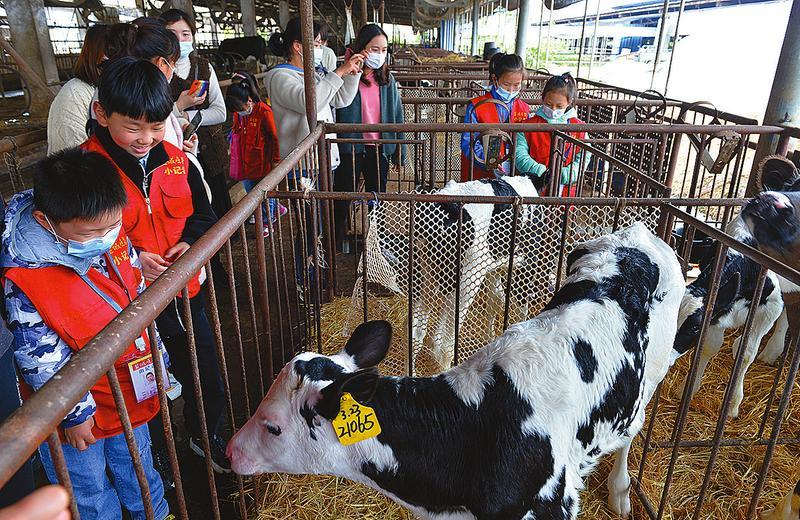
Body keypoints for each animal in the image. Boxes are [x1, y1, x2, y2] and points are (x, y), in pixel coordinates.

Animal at [228, 223, 684, 520]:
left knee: (632, 429)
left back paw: (621, 492)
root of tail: (634, 234)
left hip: (654, 372)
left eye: (272, 426)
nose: (230, 450)